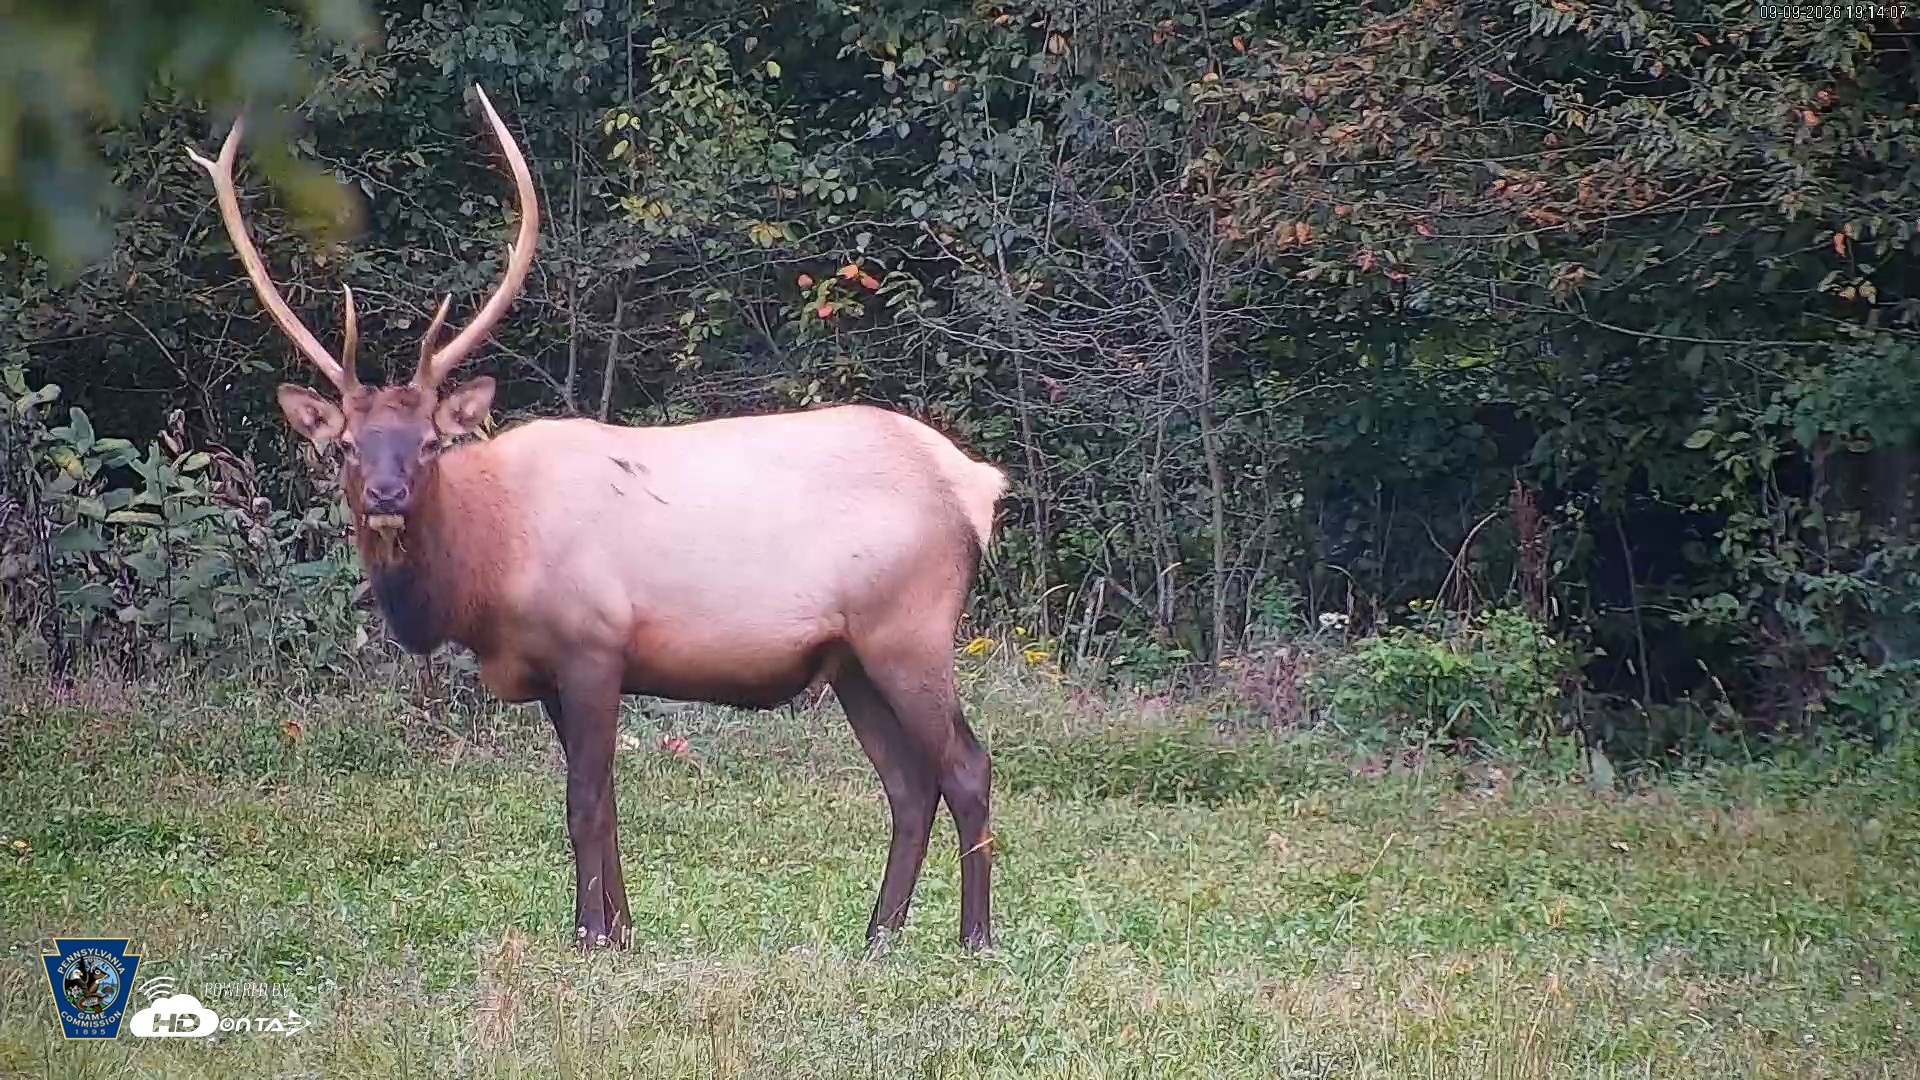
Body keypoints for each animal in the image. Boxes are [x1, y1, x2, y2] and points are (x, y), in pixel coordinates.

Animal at [186, 85, 1008, 953]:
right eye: (345, 444)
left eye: (428, 443)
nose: (383, 494)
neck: (487, 573)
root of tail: (975, 485)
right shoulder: (553, 668)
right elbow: (606, 806)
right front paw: (622, 931)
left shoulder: (592, 644)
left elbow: (583, 802)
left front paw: (586, 934)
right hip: (851, 658)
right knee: (908, 784)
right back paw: (878, 936)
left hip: (909, 630)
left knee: (966, 768)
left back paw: (974, 938)